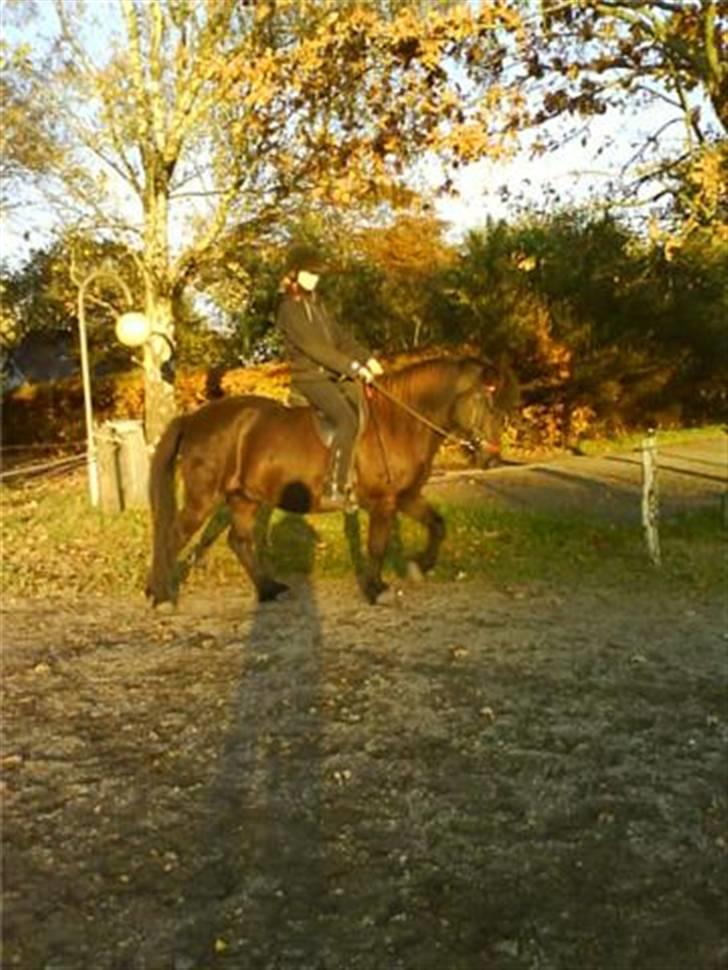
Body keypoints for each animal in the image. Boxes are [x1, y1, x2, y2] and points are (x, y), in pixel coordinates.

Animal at [145, 352, 516, 600]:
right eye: (487, 401)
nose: (492, 458)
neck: (398, 422)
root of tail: (194, 418)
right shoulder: (384, 502)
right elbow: (377, 546)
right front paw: (376, 589)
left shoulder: (407, 496)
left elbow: (437, 525)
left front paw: (418, 567)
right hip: (203, 498)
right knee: (172, 537)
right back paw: (161, 594)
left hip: (244, 498)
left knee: (239, 541)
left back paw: (268, 589)